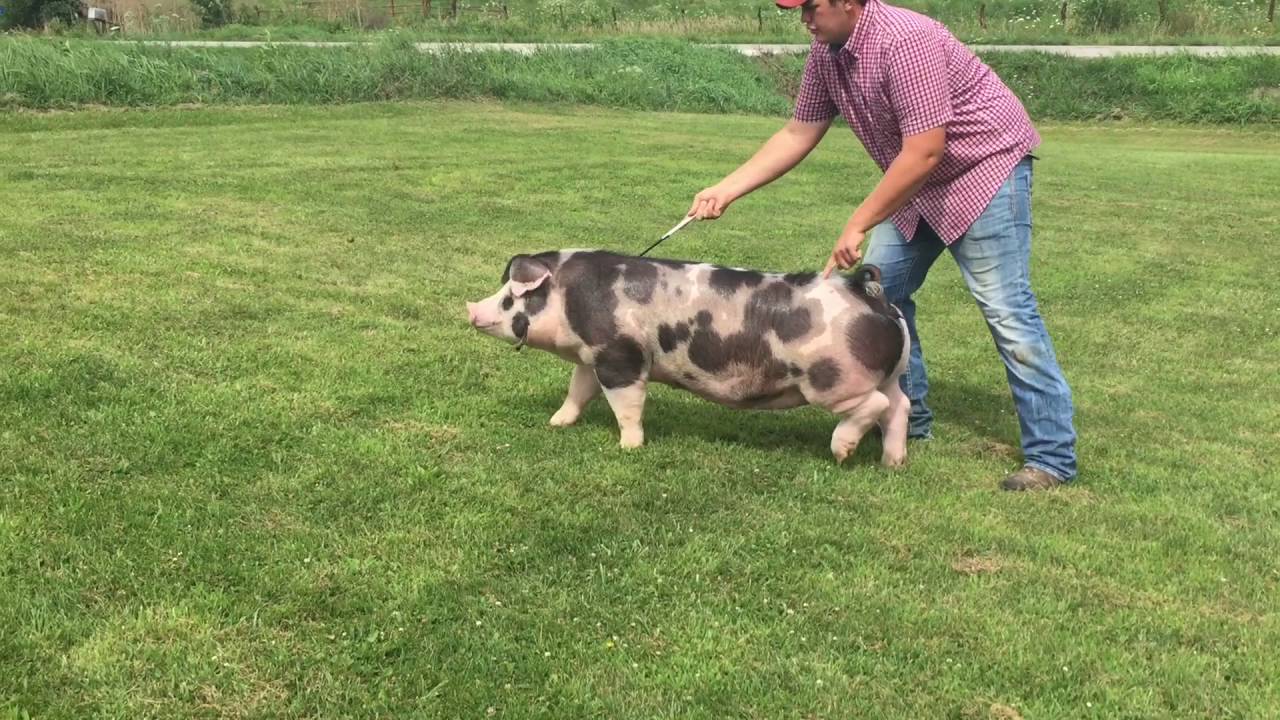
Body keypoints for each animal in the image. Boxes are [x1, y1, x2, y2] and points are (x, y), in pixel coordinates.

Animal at [466, 250, 911, 466]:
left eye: (510, 297)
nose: (471, 310)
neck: (573, 298)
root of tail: (872, 296)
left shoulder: (622, 356)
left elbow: (627, 406)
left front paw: (629, 448)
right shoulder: (594, 357)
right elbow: (578, 390)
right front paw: (556, 423)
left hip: (834, 380)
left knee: (876, 405)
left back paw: (841, 453)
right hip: (888, 375)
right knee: (899, 406)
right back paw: (893, 463)